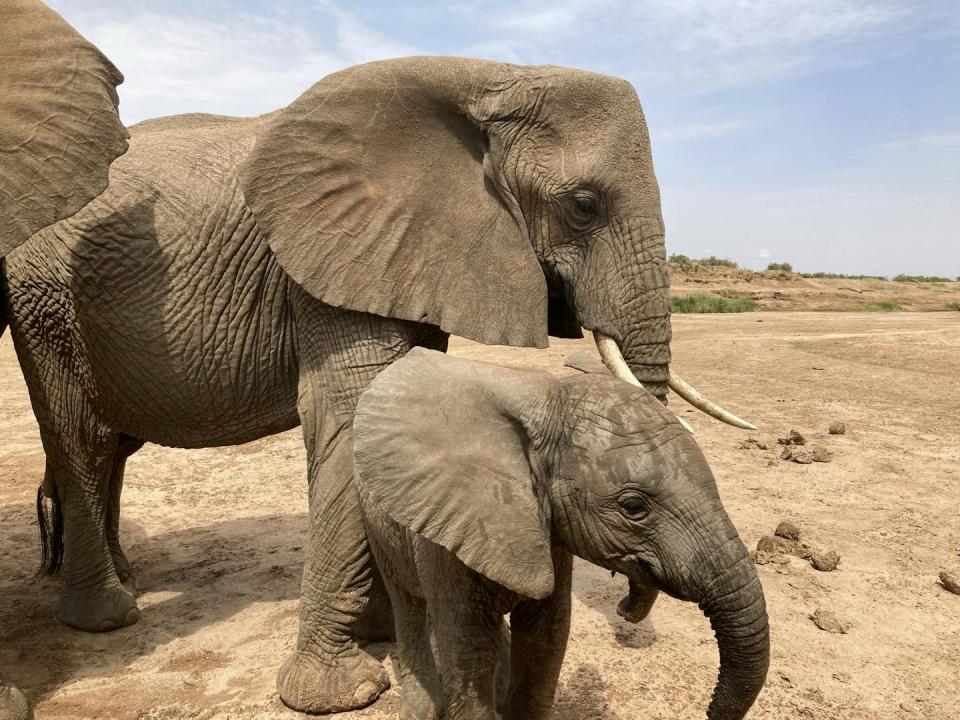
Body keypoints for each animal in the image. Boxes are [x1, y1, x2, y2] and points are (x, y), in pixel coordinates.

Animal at [356, 348, 768, 720]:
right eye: (633, 507)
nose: (624, 606)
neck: (548, 403)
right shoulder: (451, 529)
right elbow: (468, 652)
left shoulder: (549, 532)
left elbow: (546, 642)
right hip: (378, 523)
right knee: (408, 605)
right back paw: (421, 710)